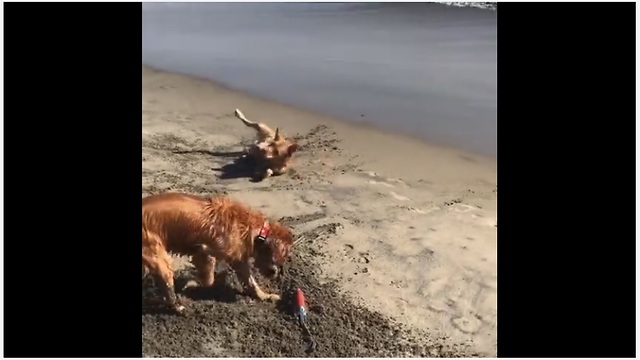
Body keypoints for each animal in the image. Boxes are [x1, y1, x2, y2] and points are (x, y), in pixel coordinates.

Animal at [141, 193, 294, 314]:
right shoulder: (204, 251)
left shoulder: (239, 260)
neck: (254, 229)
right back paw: (178, 307)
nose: (275, 273)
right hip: (160, 259)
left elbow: (251, 282)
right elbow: (209, 279)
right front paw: (192, 283)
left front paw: (264, 296)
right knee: (168, 289)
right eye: (283, 255)